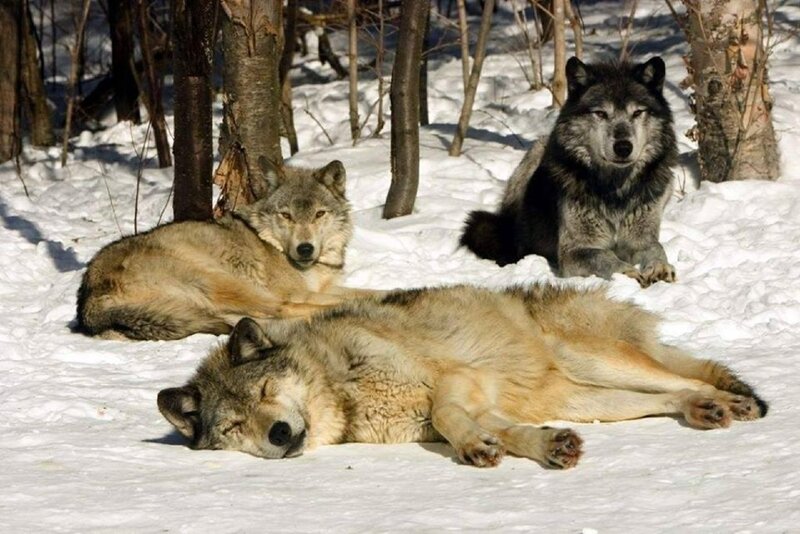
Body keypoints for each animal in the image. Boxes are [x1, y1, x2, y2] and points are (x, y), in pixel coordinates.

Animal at [77, 158, 376, 340]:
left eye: (319, 214)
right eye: (286, 215)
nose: (305, 249)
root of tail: (87, 300)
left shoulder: (324, 287)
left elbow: (368, 290)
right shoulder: (298, 292)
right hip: (223, 279)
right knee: (279, 310)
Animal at [157, 284, 767, 468]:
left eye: (266, 391)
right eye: (234, 426)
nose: (280, 434)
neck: (342, 384)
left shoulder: (457, 379)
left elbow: (448, 415)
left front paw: (474, 446)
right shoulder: (479, 402)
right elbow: (507, 432)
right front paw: (545, 447)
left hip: (596, 361)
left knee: (689, 377)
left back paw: (731, 404)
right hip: (585, 397)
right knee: (669, 395)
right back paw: (703, 410)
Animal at [461, 56, 678, 288]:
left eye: (637, 113)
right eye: (601, 113)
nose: (623, 147)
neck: (615, 190)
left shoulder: (641, 240)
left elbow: (656, 248)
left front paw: (660, 268)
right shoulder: (574, 251)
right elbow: (605, 257)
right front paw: (627, 273)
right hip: (537, 150)